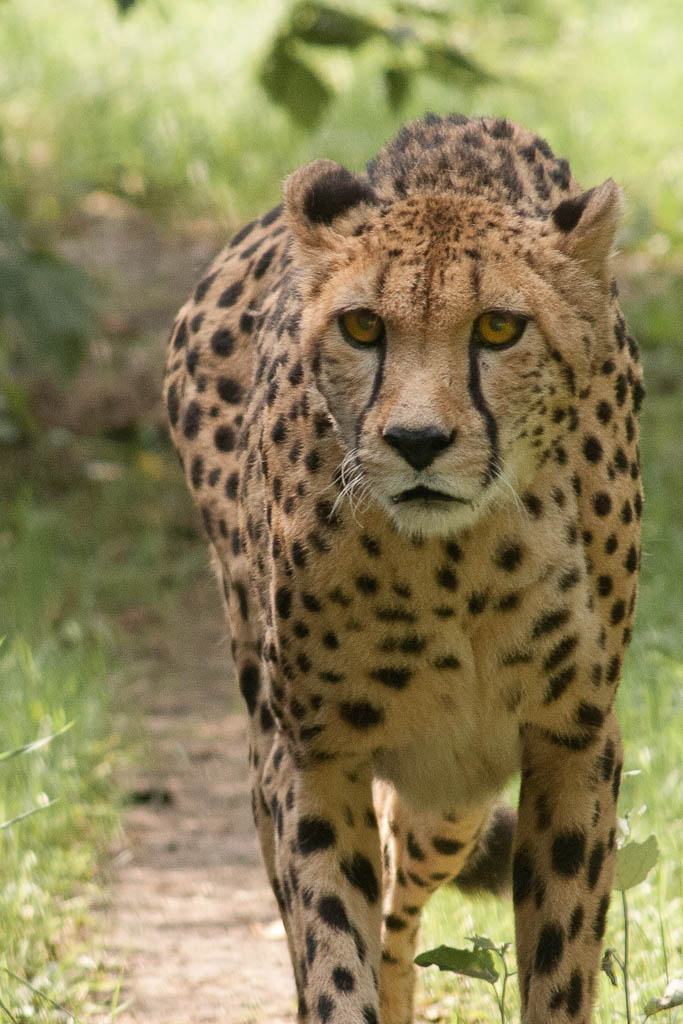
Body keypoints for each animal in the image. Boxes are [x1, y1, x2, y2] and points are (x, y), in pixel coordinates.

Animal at [163, 113, 644, 1024]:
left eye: (498, 328)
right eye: (361, 328)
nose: (417, 443)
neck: (458, 564)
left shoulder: (573, 741)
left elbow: (560, 963)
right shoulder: (310, 755)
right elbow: (329, 949)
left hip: (454, 790)